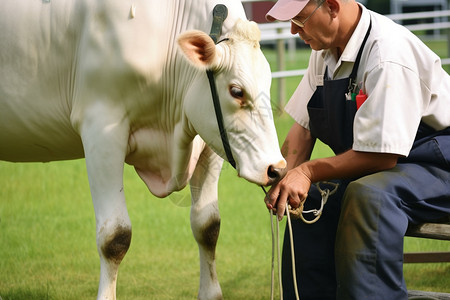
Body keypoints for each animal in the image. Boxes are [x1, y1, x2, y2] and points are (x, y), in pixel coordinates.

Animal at [0, 0, 284, 298]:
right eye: (237, 91)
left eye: (268, 84)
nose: (276, 168)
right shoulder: (101, 126)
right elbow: (115, 236)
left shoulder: (209, 140)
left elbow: (207, 224)